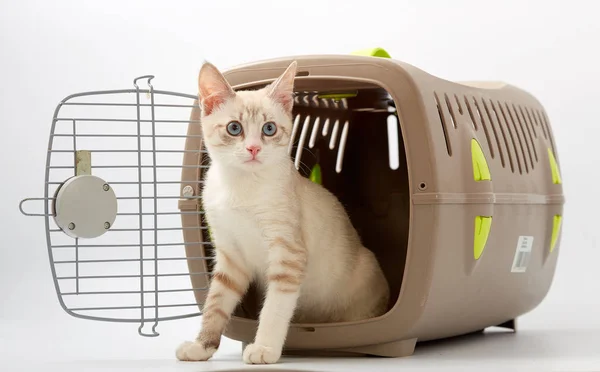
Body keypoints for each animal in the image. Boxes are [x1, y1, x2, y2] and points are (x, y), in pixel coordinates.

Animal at [175, 60, 390, 364]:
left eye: (268, 128)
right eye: (234, 128)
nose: (254, 148)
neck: (241, 186)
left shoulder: (287, 255)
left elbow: (274, 309)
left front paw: (264, 348)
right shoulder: (230, 257)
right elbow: (215, 304)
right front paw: (202, 346)